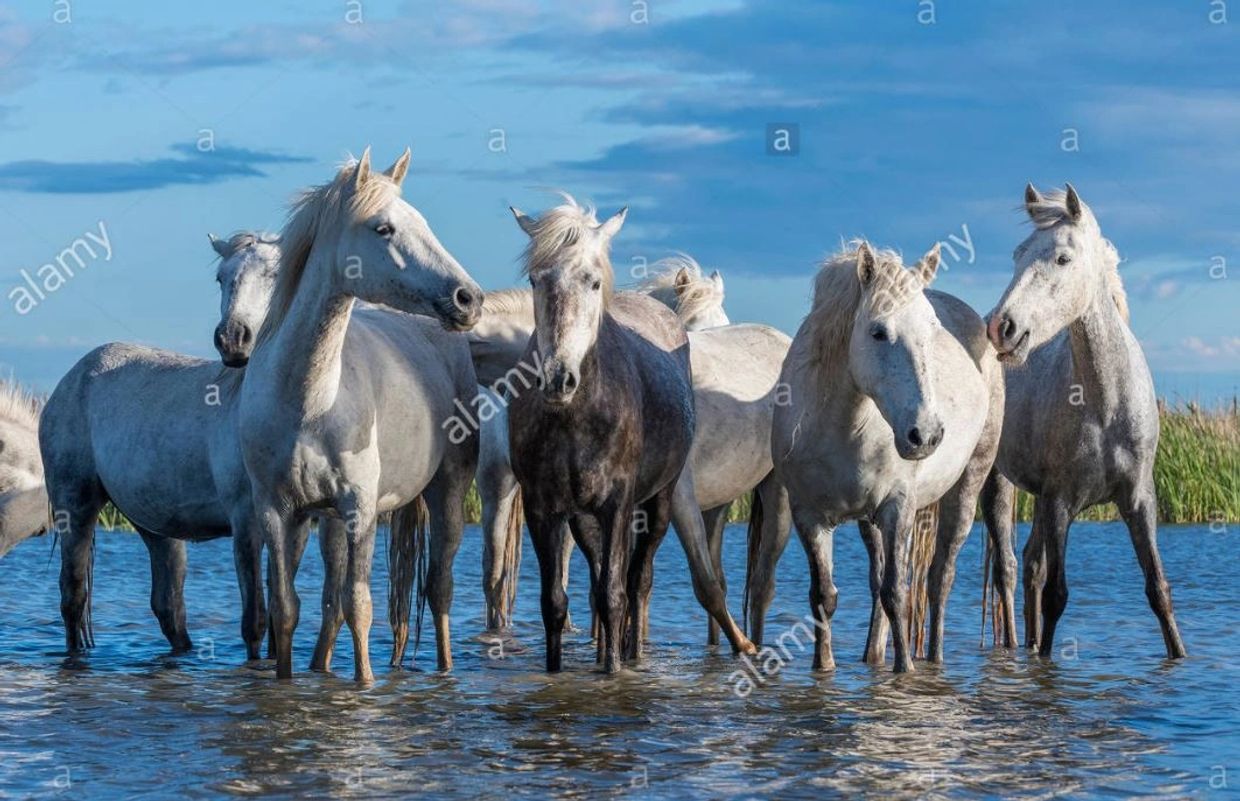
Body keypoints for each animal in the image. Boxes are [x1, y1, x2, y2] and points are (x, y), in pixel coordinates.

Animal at [236, 148, 483, 684]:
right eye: (383, 228)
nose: (468, 299)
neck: (308, 402)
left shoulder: (361, 509)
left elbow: (360, 604)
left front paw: (364, 684)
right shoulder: (276, 512)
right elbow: (287, 607)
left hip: (449, 493)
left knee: (439, 589)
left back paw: (446, 670)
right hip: (325, 521)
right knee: (331, 602)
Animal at [505, 199, 753, 669]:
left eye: (593, 280)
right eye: (535, 280)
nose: (559, 379)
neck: (576, 416)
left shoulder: (618, 504)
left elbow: (615, 595)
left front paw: (614, 671)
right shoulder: (543, 507)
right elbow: (555, 603)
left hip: (659, 502)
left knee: (638, 580)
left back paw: (632, 653)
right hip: (585, 518)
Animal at [768, 241, 1001, 674]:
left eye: (931, 331)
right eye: (878, 332)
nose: (925, 435)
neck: (842, 426)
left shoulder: (897, 506)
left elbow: (898, 593)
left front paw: (904, 670)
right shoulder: (809, 515)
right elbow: (825, 596)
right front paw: (823, 667)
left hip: (968, 484)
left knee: (939, 578)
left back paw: (934, 659)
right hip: (869, 522)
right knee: (879, 580)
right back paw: (872, 657)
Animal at [982, 184, 1185, 664]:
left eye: (1062, 258)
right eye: (1017, 255)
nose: (1001, 328)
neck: (1105, 404)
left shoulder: (1139, 499)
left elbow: (1158, 589)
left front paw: (1181, 656)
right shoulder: (1061, 503)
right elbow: (1056, 594)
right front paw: (1044, 663)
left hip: (1035, 497)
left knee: (1029, 564)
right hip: (997, 485)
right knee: (1009, 569)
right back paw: (1015, 647)